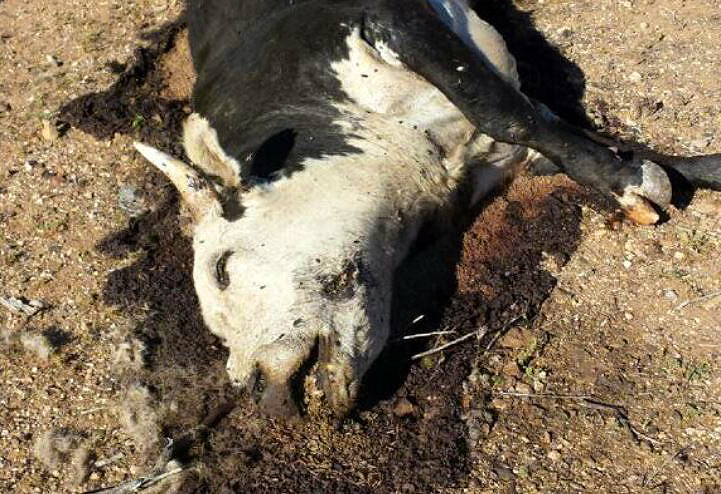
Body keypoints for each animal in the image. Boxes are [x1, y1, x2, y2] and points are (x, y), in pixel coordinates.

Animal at [134, 0, 721, 417]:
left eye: (222, 268)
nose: (263, 393)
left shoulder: (387, 18)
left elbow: (507, 111)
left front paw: (634, 182)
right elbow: (556, 131)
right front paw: (663, 171)